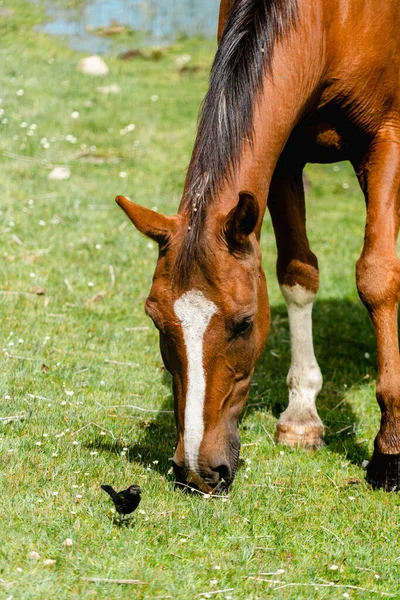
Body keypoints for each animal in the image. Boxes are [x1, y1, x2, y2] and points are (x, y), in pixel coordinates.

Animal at [117, 0, 400, 490]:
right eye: (155, 319)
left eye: (244, 323)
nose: (199, 470)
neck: (333, 21)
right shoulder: (285, 152)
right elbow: (298, 272)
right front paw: (302, 417)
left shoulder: (386, 138)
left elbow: (377, 276)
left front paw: (389, 448)